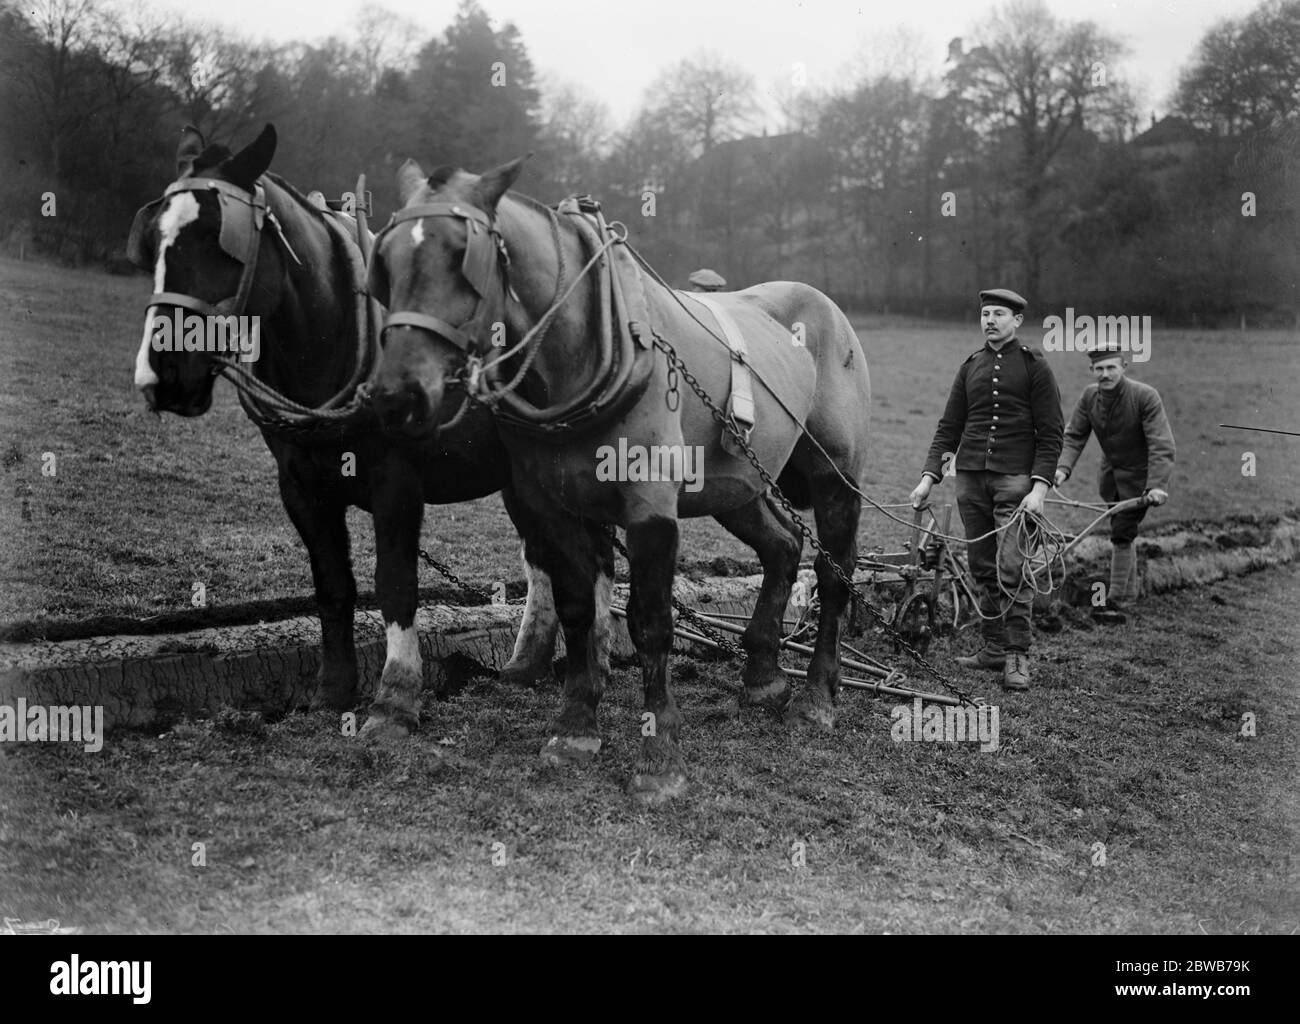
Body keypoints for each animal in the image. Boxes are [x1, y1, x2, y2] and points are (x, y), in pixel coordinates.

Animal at [125, 128, 564, 732]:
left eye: (222, 242)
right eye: (155, 239)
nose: (163, 376)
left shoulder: (397, 484)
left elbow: (395, 585)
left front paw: (395, 699)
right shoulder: (300, 487)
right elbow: (333, 587)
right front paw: (332, 691)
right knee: (545, 554)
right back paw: (530, 664)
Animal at [366, 157, 873, 800]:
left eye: (464, 256)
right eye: (384, 264)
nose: (397, 395)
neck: (585, 348)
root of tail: (825, 308)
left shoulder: (649, 504)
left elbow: (650, 622)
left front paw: (660, 757)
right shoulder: (550, 506)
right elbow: (579, 610)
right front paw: (575, 728)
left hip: (836, 477)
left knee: (835, 574)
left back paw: (816, 697)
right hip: (737, 483)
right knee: (782, 547)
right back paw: (762, 676)